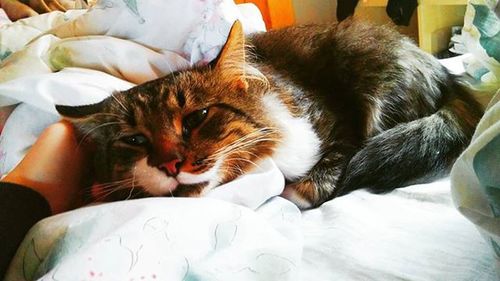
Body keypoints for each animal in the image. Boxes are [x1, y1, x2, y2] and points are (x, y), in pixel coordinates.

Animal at [56, 19, 482, 208]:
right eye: (135, 140)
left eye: (196, 118)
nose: (170, 165)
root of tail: (450, 79)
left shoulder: (336, 120)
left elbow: (330, 165)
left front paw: (299, 193)